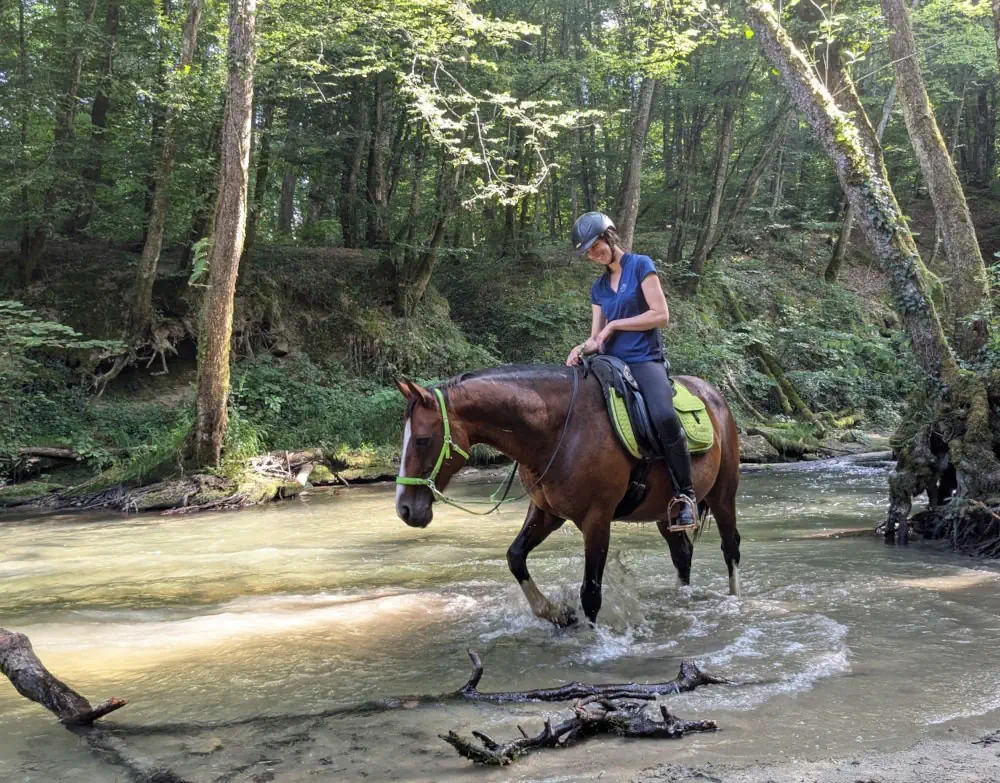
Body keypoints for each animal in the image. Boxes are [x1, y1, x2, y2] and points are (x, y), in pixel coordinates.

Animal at [393, 364, 741, 627]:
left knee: (730, 547)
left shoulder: (597, 519)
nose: (405, 510)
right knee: (682, 553)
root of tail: (713, 394)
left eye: (422, 440)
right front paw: (557, 614)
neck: (560, 429)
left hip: (723, 495)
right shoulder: (546, 512)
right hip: (664, 513)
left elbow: (591, 593)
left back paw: (735, 600)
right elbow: (515, 557)